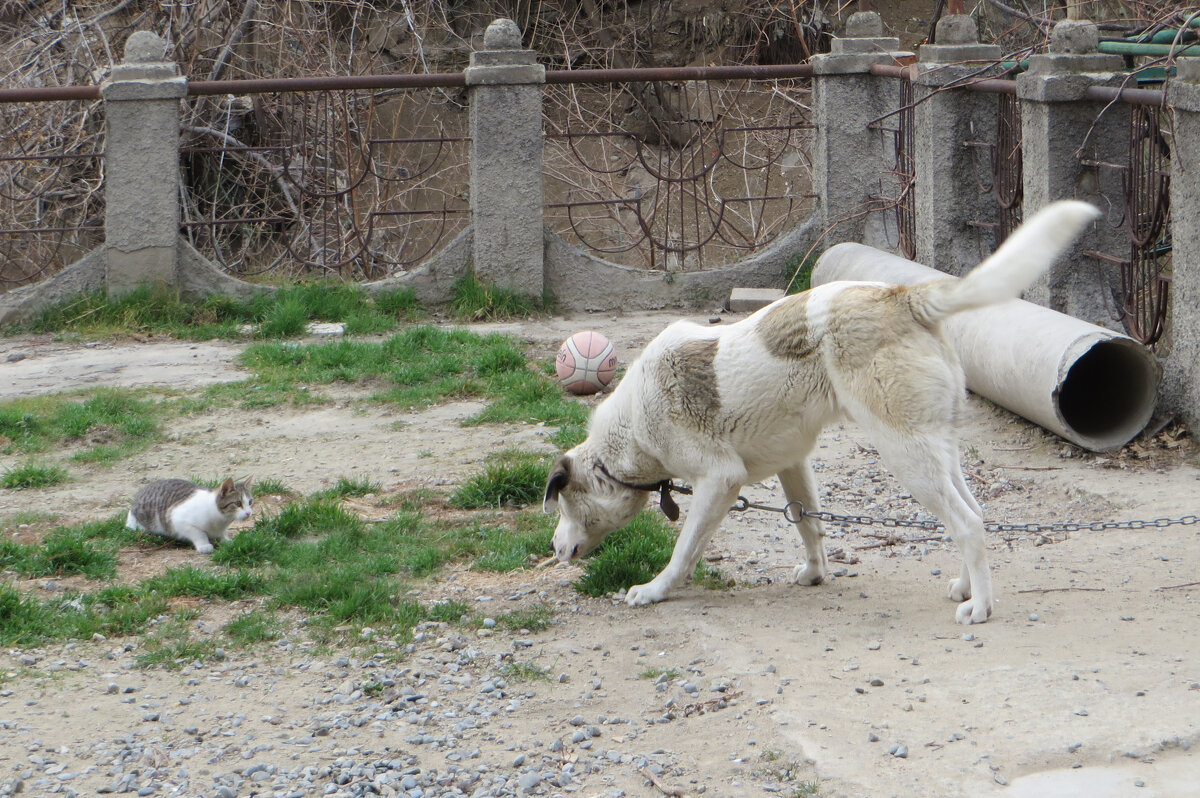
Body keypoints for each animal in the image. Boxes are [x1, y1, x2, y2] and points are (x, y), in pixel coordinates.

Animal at [549, 200, 1099, 624]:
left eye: (563, 505)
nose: (554, 550)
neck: (628, 434)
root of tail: (901, 295)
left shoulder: (720, 480)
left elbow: (685, 549)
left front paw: (655, 590)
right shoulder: (793, 464)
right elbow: (806, 523)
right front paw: (815, 574)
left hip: (906, 455)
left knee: (967, 523)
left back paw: (980, 608)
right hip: (937, 450)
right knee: (976, 513)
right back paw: (965, 588)